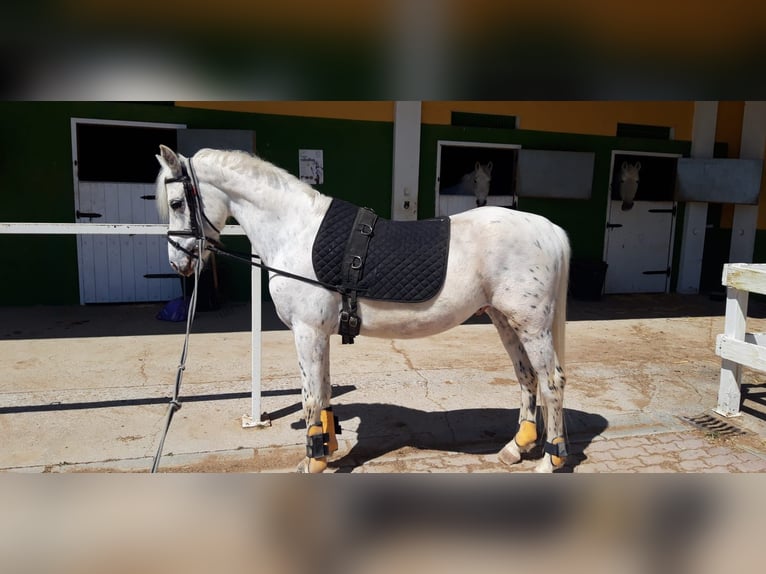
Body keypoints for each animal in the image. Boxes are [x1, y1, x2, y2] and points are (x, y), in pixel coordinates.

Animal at [156, 146, 572, 474]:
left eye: (176, 203)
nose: (178, 263)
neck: (295, 230)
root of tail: (549, 229)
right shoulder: (319, 333)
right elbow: (323, 392)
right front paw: (326, 450)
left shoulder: (306, 331)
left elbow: (310, 398)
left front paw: (312, 461)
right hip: (505, 320)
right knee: (526, 378)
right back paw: (516, 448)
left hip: (532, 326)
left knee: (551, 383)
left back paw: (550, 460)